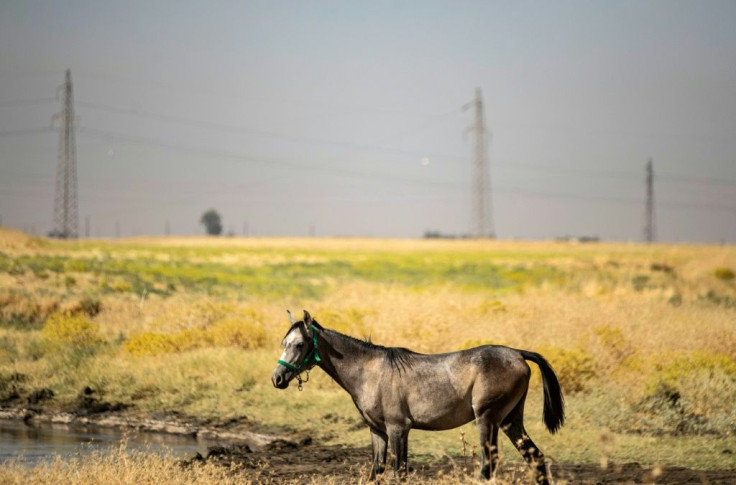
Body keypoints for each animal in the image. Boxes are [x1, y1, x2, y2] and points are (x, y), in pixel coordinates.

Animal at [270, 308, 564, 482]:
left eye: (299, 344)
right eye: (283, 343)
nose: (277, 378)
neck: (370, 371)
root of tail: (518, 353)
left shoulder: (398, 429)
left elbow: (400, 472)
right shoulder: (378, 431)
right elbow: (376, 472)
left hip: (487, 419)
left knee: (488, 465)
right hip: (510, 420)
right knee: (535, 458)